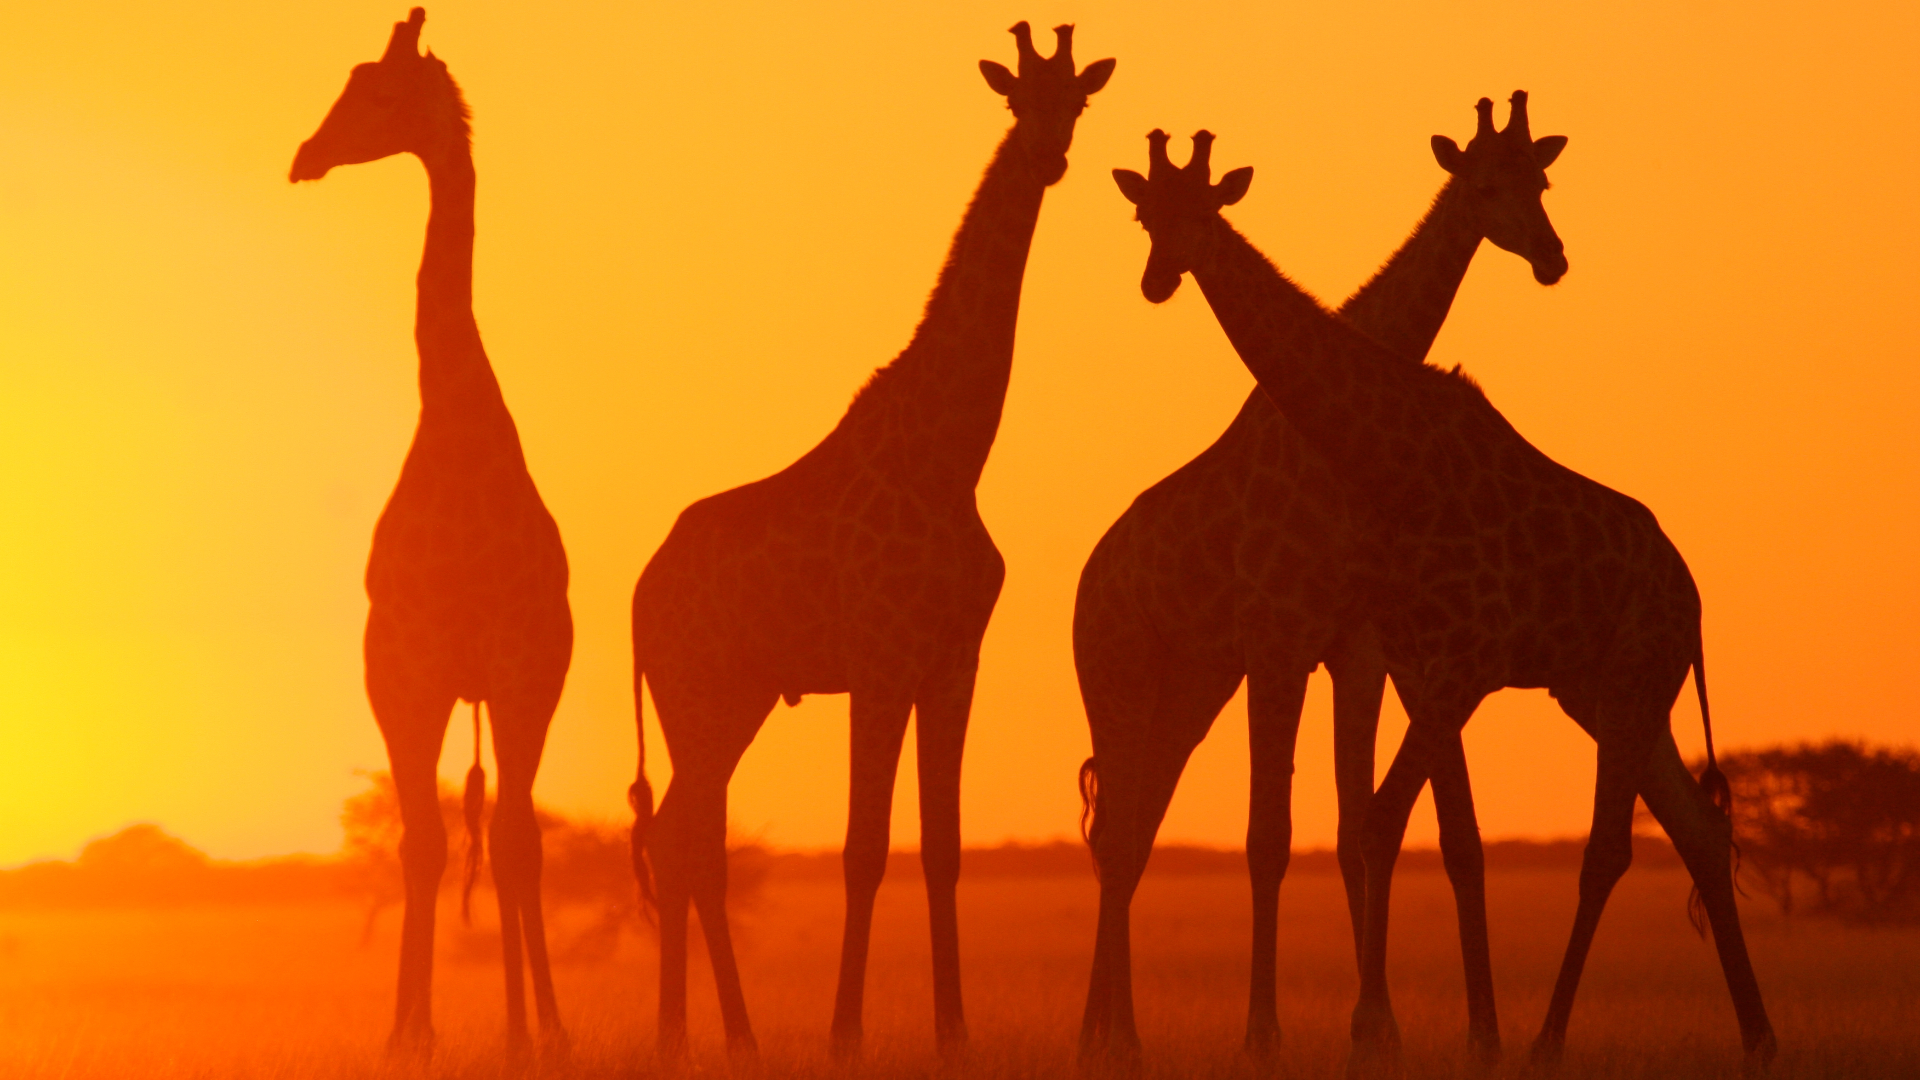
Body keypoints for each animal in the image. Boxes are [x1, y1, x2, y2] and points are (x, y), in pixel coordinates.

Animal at [289, 7, 571, 1056]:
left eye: (376, 92)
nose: (306, 155)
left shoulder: (524, 669)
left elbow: (519, 843)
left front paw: (544, 1033)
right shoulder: (404, 672)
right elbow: (423, 845)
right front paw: (409, 1032)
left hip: (508, 688)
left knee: (510, 831)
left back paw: (532, 1027)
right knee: (456, 833)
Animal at [627, 22, 1115, 1060]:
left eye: (1078, 101)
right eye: (1017, 98)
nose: (1048, 156)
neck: (954, 453)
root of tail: (638, 596)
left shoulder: (954, 662)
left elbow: (944, 846)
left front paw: (955, 1030)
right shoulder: (883, 663)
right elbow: (862, 848)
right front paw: (846, 1032)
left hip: (733, 701)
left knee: (684, 837)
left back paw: (709, 1036)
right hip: (697, 694)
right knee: (685, 840)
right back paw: (706, 1035)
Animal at [1075, 95, 1566, 1067]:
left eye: (1539, 182)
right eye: (1146, 215)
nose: (1550, 257)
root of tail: (1082, 586)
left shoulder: (1357, 645)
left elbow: (1354, 830)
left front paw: (1380, 1029)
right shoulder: (1282, 640)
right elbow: (1272, 837)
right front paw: (1265, 1034)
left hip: (1188, 691)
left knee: (1132, 830)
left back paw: (1111, 1038)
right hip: (1119, 681)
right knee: (1117, 838)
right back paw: (1111, 1042)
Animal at [1110, 125, 1776, 1072]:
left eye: (1203, 213)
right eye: (1145, 215)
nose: (1159, 277)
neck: (1394, 461)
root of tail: (1692, 595)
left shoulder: (1442, 662)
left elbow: (1382, 824)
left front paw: (1378, 1031)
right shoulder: (1409, 664)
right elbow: (1402, 831)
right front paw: (1400, 1031)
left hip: (1630, 681)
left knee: (1616, 846)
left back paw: (1562, 1041)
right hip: (1611, 694)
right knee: (1694, 831)